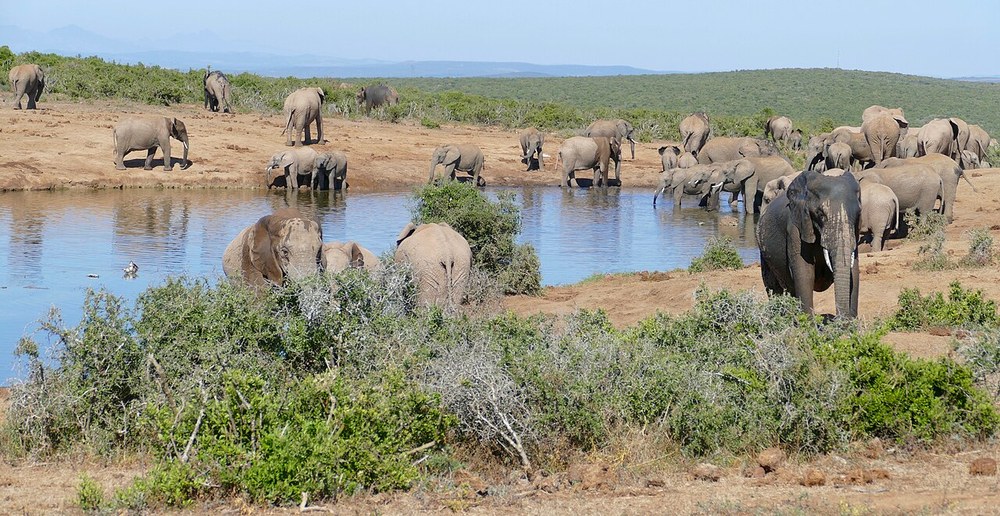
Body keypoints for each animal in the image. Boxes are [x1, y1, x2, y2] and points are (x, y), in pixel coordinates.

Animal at [756, 170, 862, 318]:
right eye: (820, 214)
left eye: (858, 214)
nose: (840, 319)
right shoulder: (795, 227)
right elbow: (805, 273)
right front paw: (808, 322)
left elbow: (854, 272)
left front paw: (851, 323)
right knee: (773, 286)